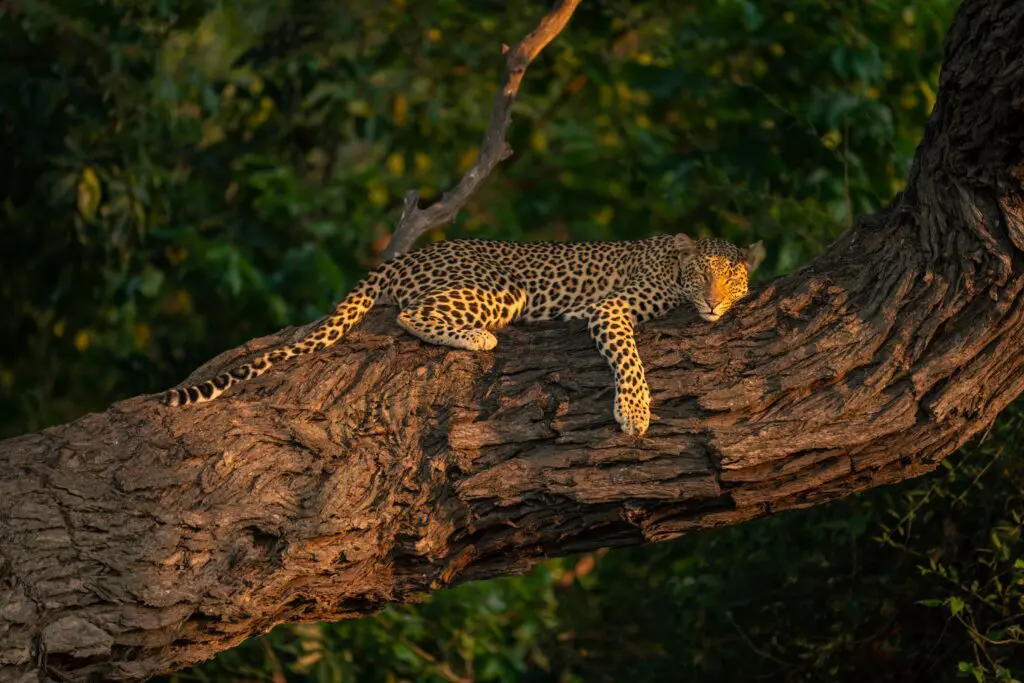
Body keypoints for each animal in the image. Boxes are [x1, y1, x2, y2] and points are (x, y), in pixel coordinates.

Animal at [163, 234, 766, 437]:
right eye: (702, 275)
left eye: (731, 277)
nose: (715, 301)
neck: (672, 268)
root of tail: (405, 257)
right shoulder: (611, 307)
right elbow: (629, 359)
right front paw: (635, 412)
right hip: (501, 287)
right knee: (409, 316)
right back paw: (480, 339)